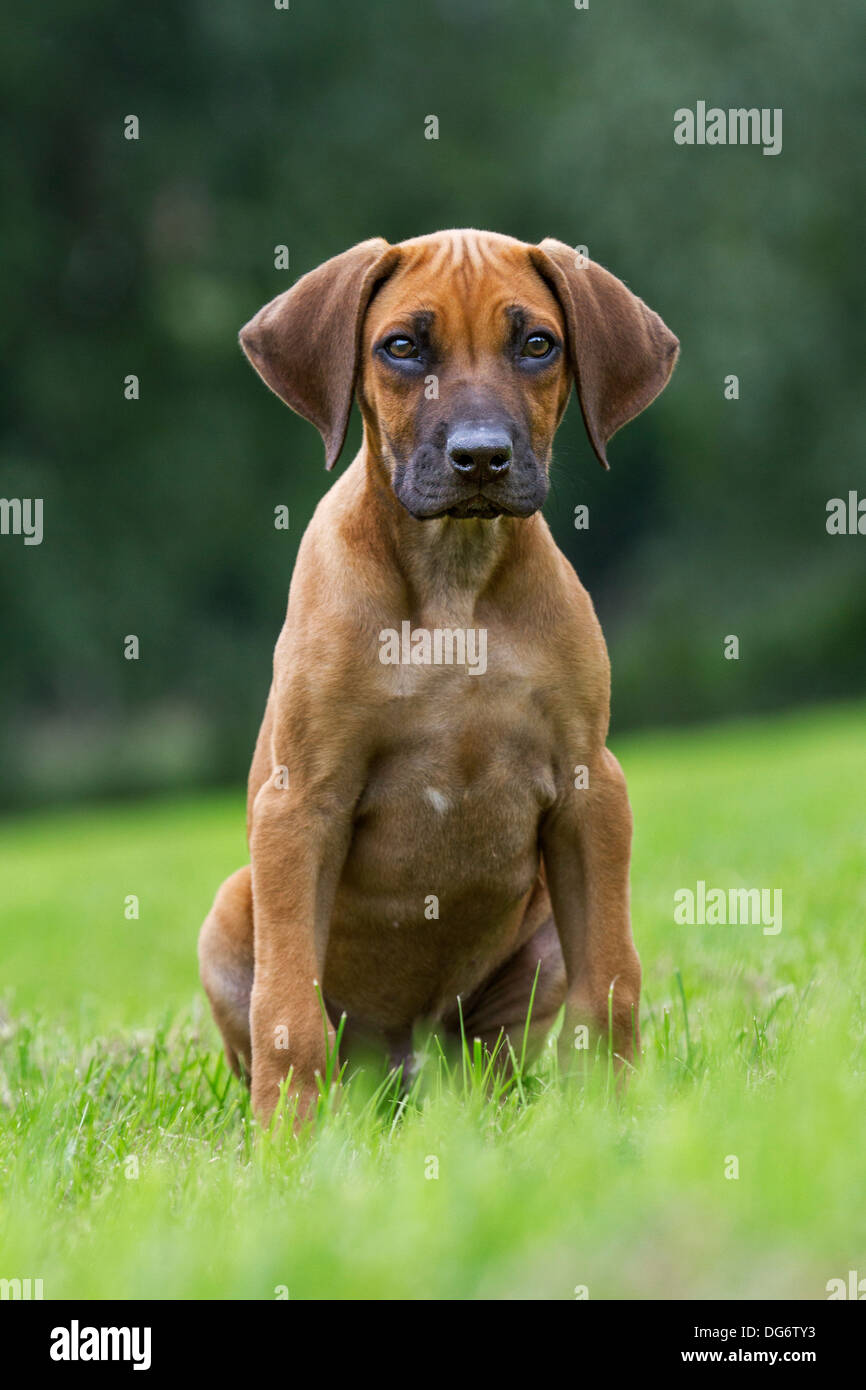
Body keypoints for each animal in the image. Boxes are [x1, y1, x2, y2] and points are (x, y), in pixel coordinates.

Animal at [198, 227, 678, 1117]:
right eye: (401, 347)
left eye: (537, 344)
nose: (481, 458)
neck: (454, 577)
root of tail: (404, 1065)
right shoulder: (300, 803)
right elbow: (287, 1014)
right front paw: (289, 1141)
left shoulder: (591, 789)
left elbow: (612, 983)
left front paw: (616, 1115)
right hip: (231, 911)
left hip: (534, 944)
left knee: (492, 1055)